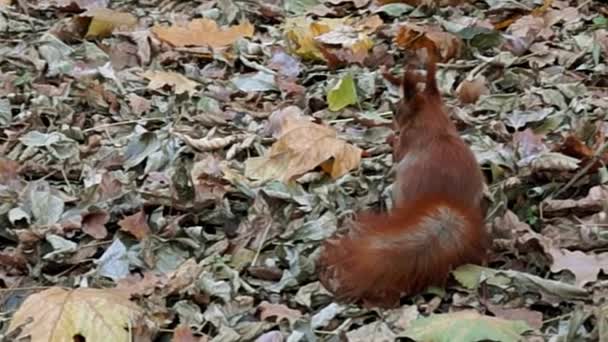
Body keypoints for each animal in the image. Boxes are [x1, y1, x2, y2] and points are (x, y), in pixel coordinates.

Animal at [316, 60, 486, 308]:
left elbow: (397, 152)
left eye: (397, 110)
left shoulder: (406, 142)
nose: (392, 122)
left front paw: (389, 138)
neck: (437, 127)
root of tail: (447, 202)